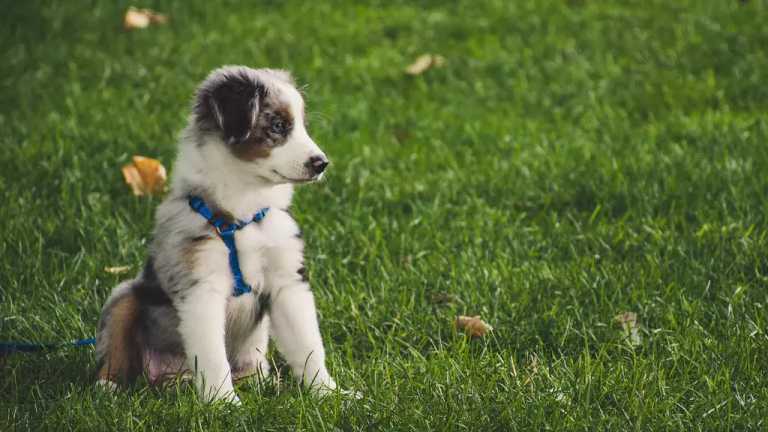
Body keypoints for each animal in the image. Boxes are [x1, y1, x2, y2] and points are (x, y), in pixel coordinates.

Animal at [96, 66, 342, 404]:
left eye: (303, 125)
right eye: (278, 125)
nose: (322, 163)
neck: (243, 212)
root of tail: (171, 377)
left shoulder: (287, 282)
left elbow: (308, 344)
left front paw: (330, 394)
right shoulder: (201, 287)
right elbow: (212, 355)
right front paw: (224, 404)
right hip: (125, 295)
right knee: (115, 344)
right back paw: (108, 385)